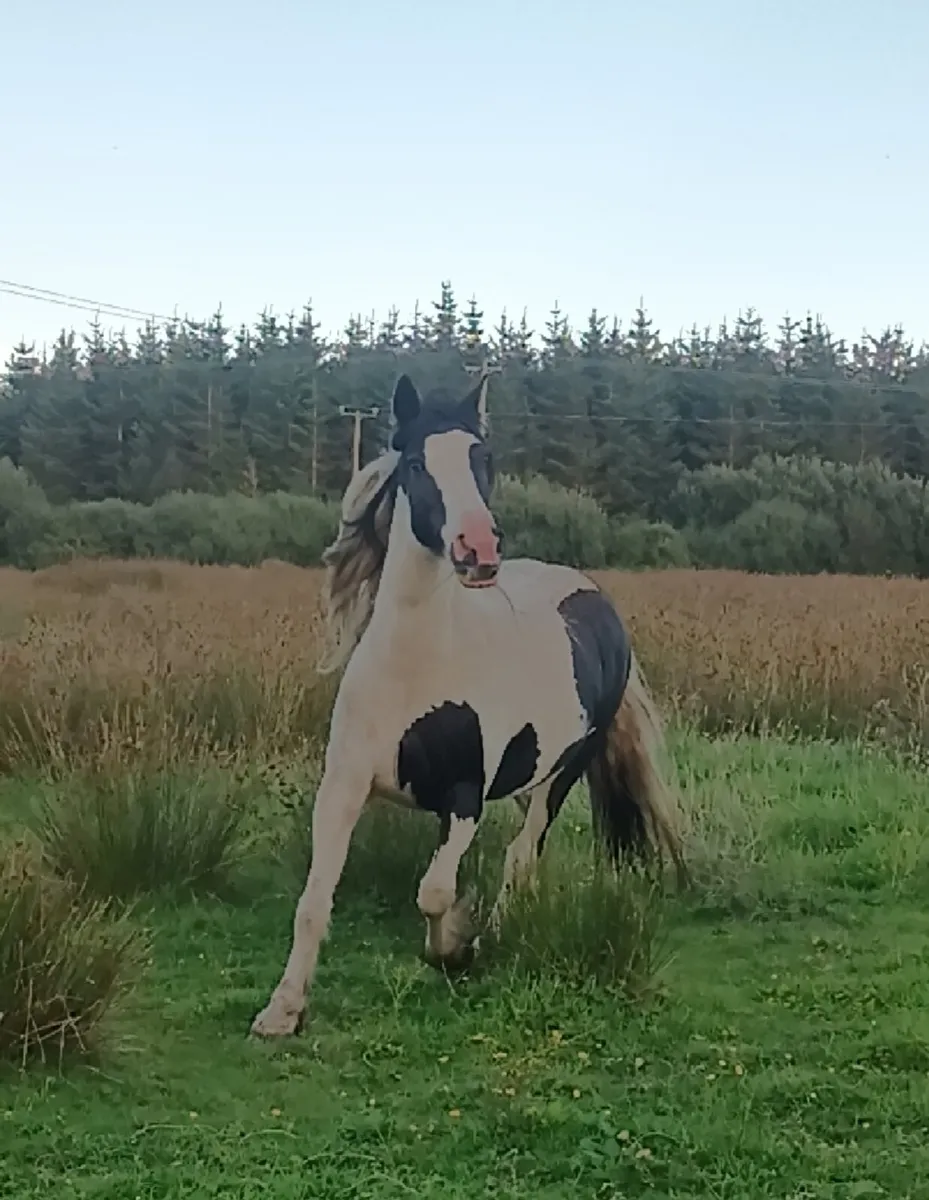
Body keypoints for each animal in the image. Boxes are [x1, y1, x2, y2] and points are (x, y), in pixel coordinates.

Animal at [250, 370, 685, 1038]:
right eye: (414, 463)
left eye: (484, 458)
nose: (477, 549)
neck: (417, 668)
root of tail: (596, 601)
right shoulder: (342, 788)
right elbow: (315, 898)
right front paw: (282, 1009)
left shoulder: (465, 796)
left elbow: (433, 891)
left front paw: (454, 946)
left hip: (565, 770)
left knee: (522, 854)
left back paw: (495, 936)